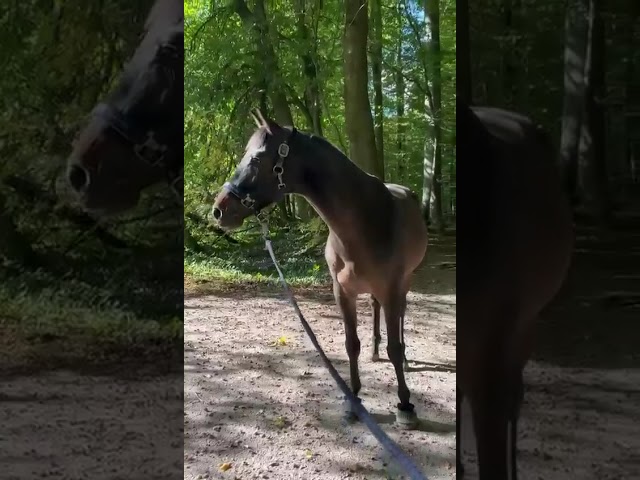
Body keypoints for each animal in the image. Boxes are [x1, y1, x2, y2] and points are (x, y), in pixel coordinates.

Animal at [212, 109, 429, 428]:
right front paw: (354, 401)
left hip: (405, 282)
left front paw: (405, 404)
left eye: (256, 159)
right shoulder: (343, 292)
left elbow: (395, 347)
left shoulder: (391, 288)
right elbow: (351, 344)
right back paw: (375, 351)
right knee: (376, 311)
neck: (365, 220)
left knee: (400, 318)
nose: (219, 210)